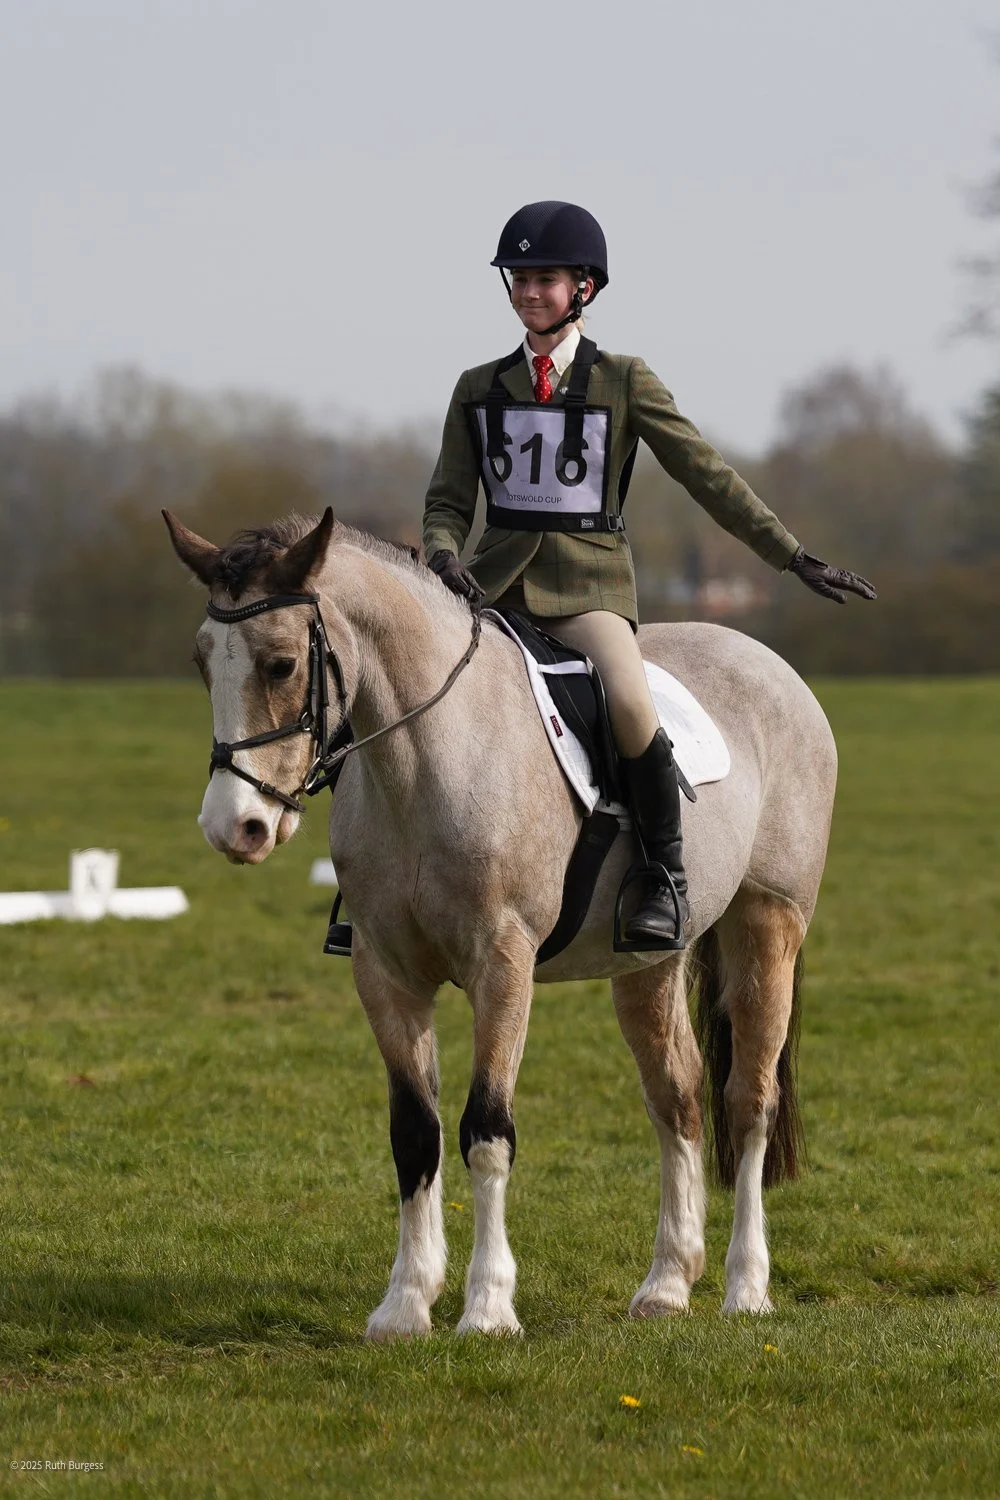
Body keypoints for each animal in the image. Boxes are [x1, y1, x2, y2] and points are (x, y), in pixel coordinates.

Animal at [164, 506, 837, 1339]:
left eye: (283, 665)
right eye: (202, 662)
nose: (236, 827)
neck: (429, 754)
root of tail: (767, 662)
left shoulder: (503, 966)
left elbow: (487, 1130)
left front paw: (486, 1307)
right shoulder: (386, 973)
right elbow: (414, 1132)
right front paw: (405, 1303)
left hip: (767, 924)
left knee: (747, 1102)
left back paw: (746, 1287)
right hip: (651, 961)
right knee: (677, 1094)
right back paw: (667, 1285)